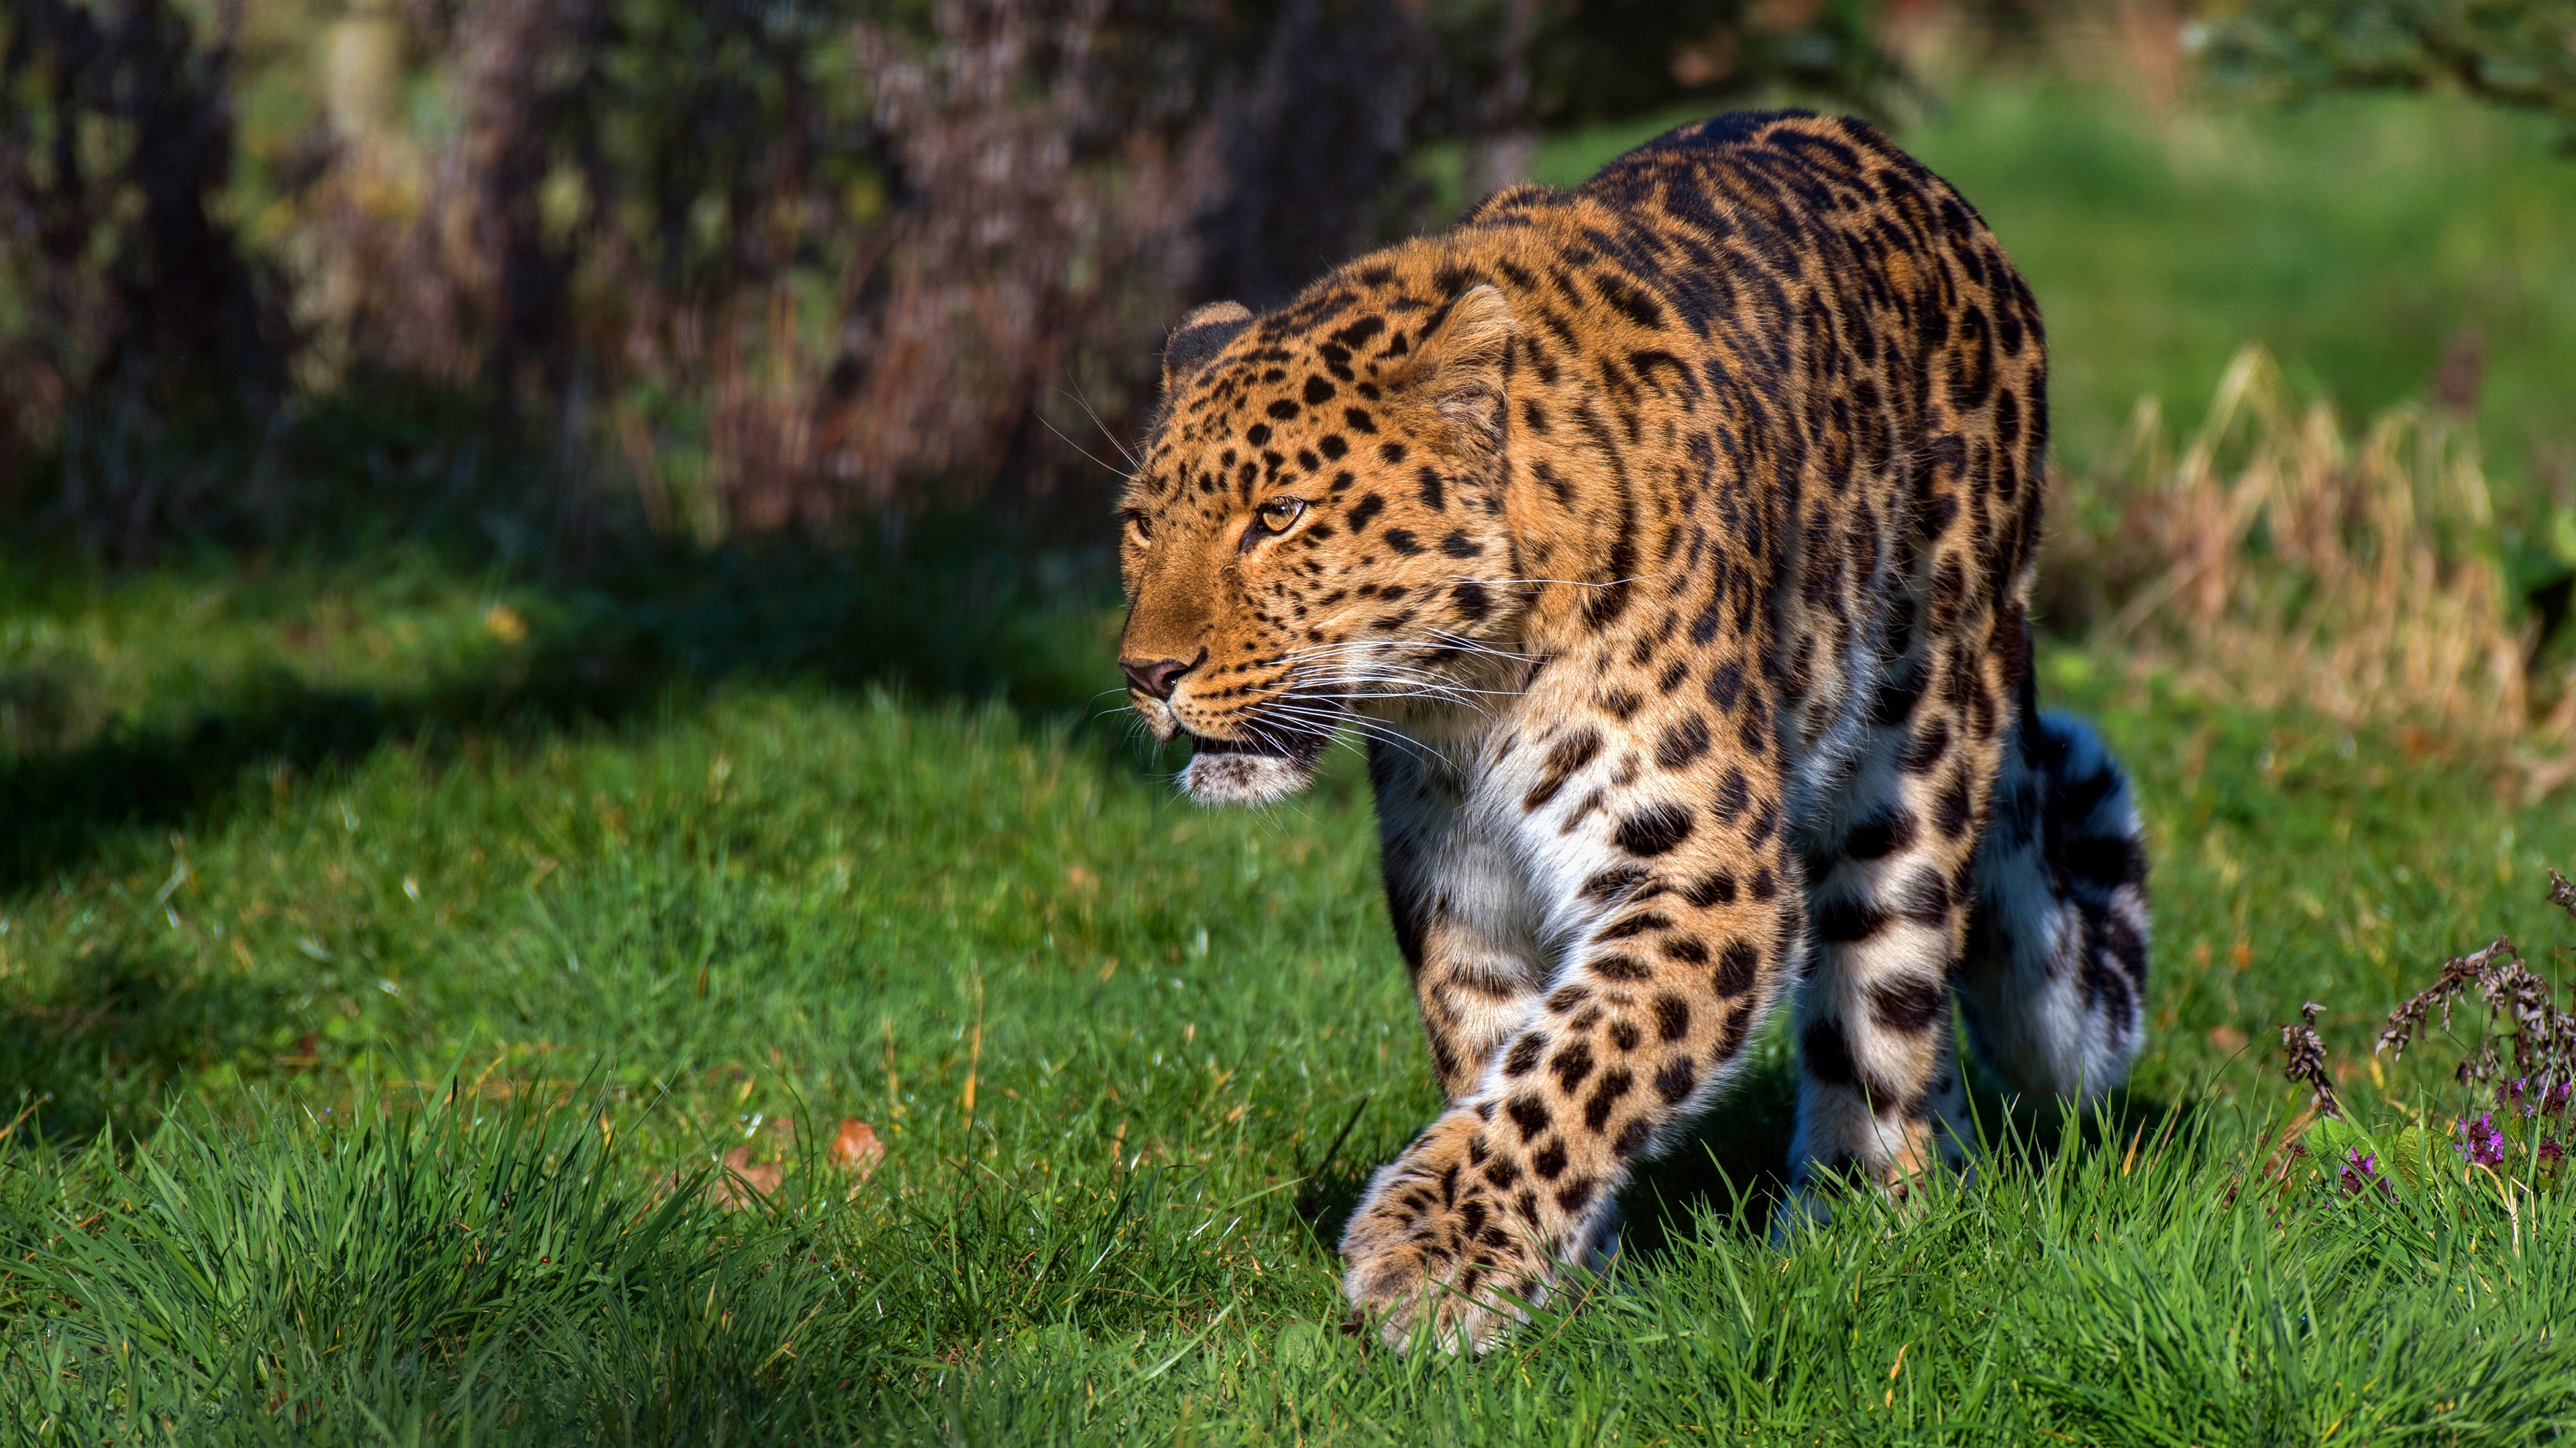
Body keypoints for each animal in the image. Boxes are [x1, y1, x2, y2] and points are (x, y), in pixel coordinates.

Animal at [1114, 110, 2151, 1354]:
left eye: (1279, 515)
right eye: (1139, 525)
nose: (1146, 673)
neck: (1464, 694)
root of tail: (1950, 206)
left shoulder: (1705, 869)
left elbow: (1584, 1054)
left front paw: (1431, 1254)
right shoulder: (1464, 878)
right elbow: (1504, 1050)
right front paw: (1551, 1283)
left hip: (1921, 752)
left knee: (1888, 1007)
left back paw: (1859, 1222)